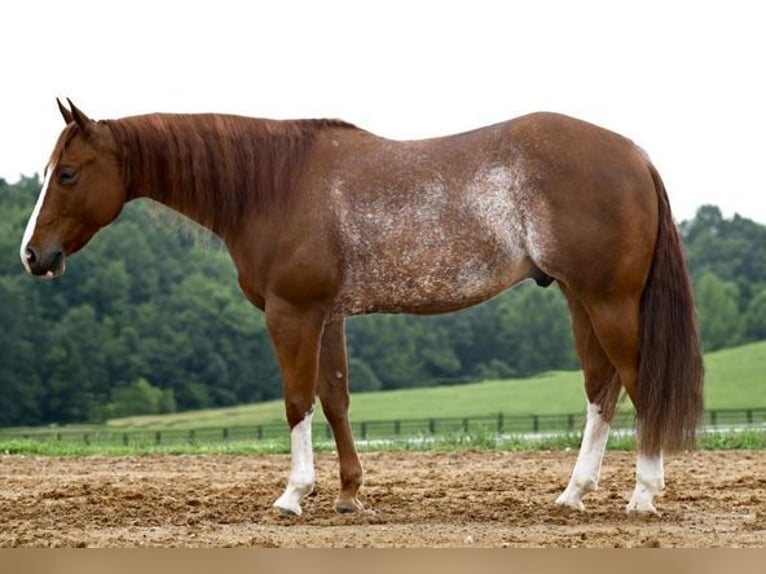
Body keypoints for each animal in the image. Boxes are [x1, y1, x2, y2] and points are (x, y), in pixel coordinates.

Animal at [19, 101, 704, 520]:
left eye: (69, 174)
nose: (31, 255)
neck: (274, 184)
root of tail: (635, 155)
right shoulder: (328, 315)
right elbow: (335, 399)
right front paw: (348, 495)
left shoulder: (291, 313)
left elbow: (296, 400)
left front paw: (294, 495)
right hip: (577, 298)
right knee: (601, 389)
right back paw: (572, 494)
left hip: (607, 300)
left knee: (639, 383)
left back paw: (644, 494)